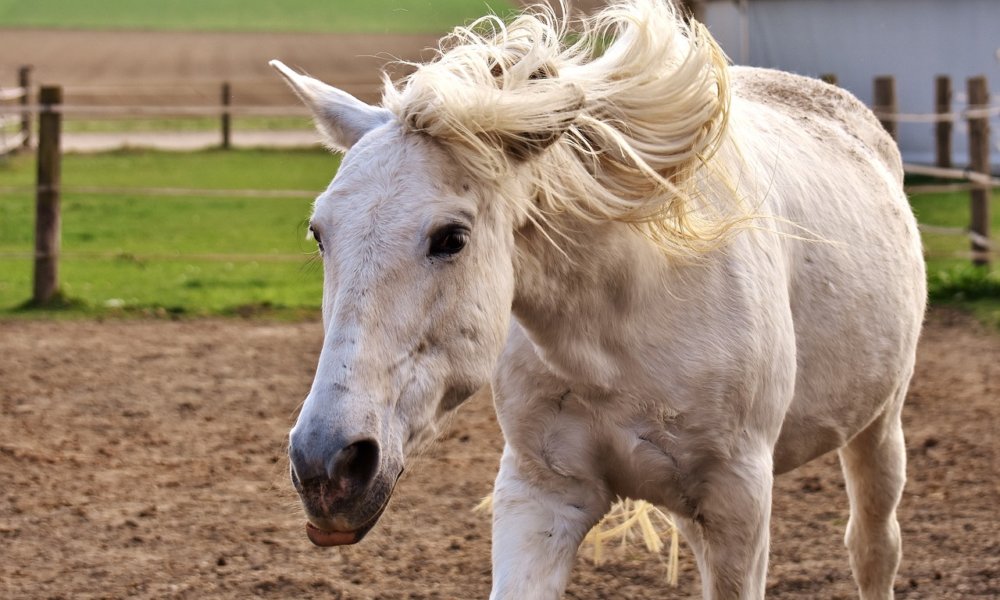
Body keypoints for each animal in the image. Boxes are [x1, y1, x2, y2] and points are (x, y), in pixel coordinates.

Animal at [271, 1, 925, 597]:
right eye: (319, 233)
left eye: (451, 238)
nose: (327, 466)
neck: (616, 329)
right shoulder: (542, 495)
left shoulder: (739, 502)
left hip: (878, 427)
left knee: (874, 548)